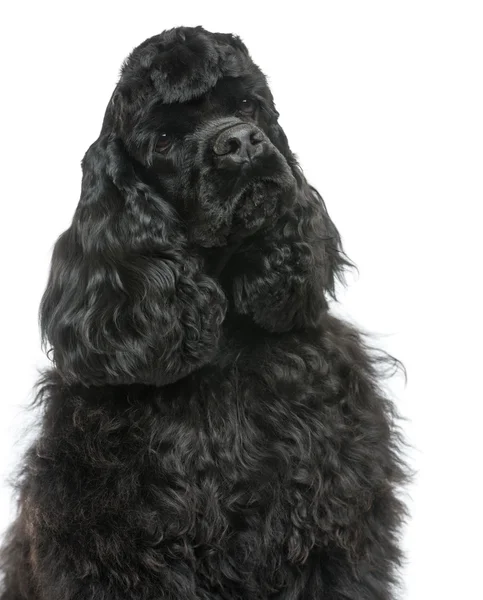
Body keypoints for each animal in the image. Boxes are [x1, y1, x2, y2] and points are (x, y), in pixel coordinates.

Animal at [0, 25, 408, 596]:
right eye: (164, 141)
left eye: (247, 105)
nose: (240, 142)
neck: (225, 347)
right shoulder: (120, 545)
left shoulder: (330, 525)